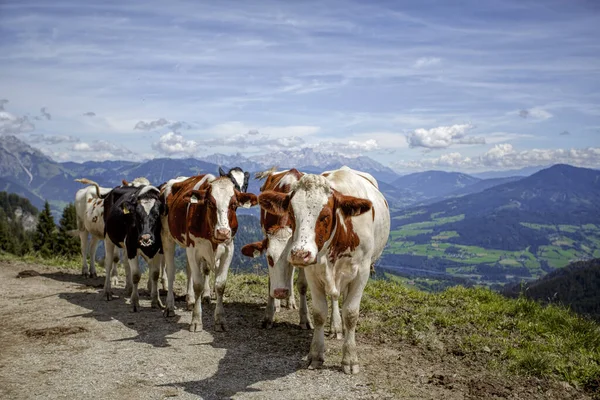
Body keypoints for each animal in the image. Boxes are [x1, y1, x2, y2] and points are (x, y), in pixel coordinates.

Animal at [161, 173, 256, 332]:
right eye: (210, 203)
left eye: (234, 205)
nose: (223, 232)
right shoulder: (193, 248)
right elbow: (198, 284)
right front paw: (196, 321)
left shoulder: (228, 249)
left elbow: (220, 284)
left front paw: (220, 320)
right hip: (167, 238)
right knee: (171, 272)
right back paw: (169, 307)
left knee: (190, 270)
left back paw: (190, 300)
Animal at [241, 167, 312, 330]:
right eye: (269, 258)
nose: (280, 292)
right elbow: (270, 281)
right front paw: (269, 315)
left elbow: (302, 285)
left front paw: (305, 318)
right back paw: (279, 304)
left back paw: (290, 300)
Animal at [258, 166, 392, 376]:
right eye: (293, 213)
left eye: (325, 216)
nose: (300, 254)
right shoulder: (313, 272)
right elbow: (319, 312)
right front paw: (315, 354)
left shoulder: (361, 273)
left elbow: (351, 313)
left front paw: (350, 358)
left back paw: (338, 326)